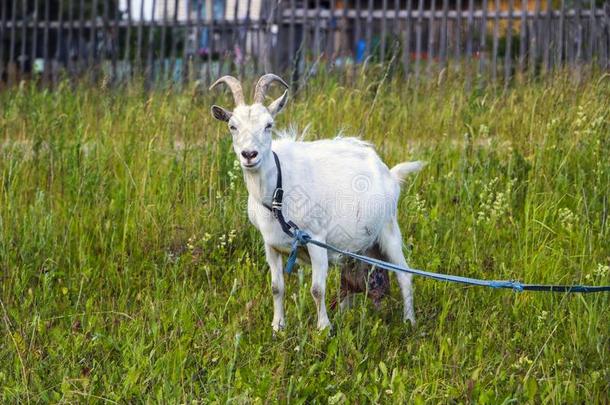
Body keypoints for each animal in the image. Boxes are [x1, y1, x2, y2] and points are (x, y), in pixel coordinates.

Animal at [210, 74, 422, 330]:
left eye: (269, 125)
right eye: (232, 126)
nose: (249, 155)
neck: (278, 192)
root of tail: (389, 173)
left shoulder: (316, 239)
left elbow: (317, 289)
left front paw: (323, 328)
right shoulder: (270, 245)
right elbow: (276, 287)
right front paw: (278, 327)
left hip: (389, 229)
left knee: (404, 274)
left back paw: (409, 321)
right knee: (351, 279)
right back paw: (345, 314)